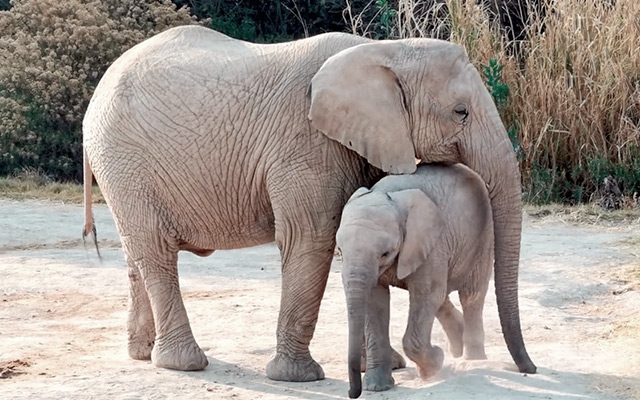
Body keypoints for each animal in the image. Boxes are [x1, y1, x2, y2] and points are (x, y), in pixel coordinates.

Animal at [338, 163, 492, 396]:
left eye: (385, 253)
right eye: (339, 251)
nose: (351, 393)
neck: (387, 195)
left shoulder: (432, 241)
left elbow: (425, 294)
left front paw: (435, 364)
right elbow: (375, 302)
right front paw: (377, 387)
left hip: (482, 237)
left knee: (471, 295)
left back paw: (473, 359)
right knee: (443, 296)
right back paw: (458, 345)